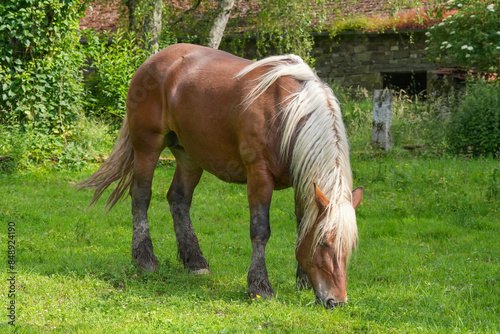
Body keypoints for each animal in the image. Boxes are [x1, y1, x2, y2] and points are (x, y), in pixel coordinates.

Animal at [81, 43, 364, 310]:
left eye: (350, 247)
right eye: (325, 244)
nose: (336, 301)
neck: (287, 112)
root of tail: (152, 61)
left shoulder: (302, 181)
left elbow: (302, 224)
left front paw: (303, 281)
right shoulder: (259, 175)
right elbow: (260, 230)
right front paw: (259, 287)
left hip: (189, 155)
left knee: (178, 199)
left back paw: (195, 262)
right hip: (147, 147)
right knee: (141, 196)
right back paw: (144, 260)